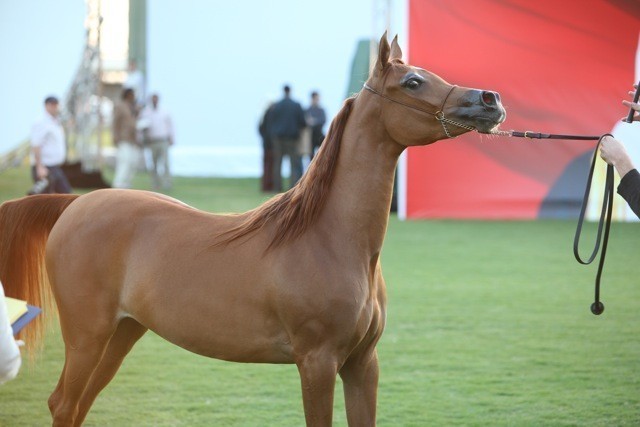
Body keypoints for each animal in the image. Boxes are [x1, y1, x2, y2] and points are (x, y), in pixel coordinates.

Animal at [0, 34, 505, 426]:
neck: (330, 240)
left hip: (121, 335)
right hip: (86, 336)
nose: (490, 100)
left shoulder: (363, 365)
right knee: (63, 403)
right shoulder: (317, 363)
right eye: (413, 81)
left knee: (78, 405)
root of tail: (75, 203)